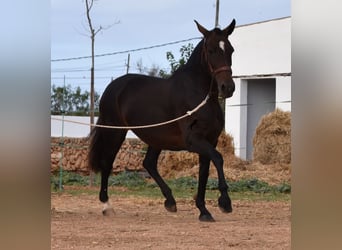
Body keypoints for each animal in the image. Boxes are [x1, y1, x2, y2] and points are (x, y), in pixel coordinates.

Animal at [89, 20, 235, 223]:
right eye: (212, 50)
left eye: (230, 50)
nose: (228, 88)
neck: (200, 96)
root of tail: (113, 87)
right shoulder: (194, 141)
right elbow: (219, 159)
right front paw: (225, 202)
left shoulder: (210, 141)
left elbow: (204, 172)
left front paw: (204, 210)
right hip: (115, 132)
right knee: (107, 163)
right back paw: (106, 206)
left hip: (155, 137)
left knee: (148, 163)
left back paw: (170, 201)